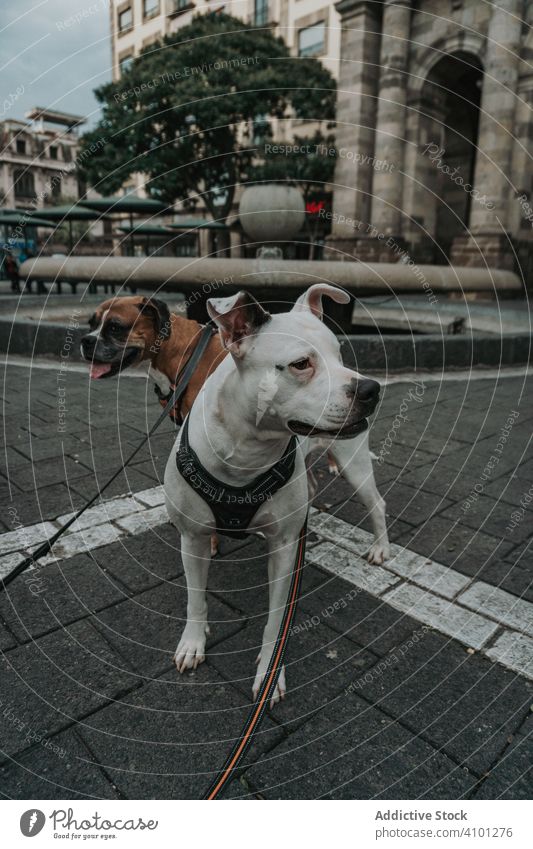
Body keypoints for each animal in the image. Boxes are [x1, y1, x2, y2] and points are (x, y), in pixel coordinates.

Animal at [164, 284, 388, 704]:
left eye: (340, 355)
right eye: (301, 364)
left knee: (376, 503)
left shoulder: (282, 548)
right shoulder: (193, 538)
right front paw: (192, 642)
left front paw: (270, 672)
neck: (246, 451)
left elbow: (275, 620)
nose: (370, 388)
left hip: (353, 463)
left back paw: (381, 548)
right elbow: (195, 598)